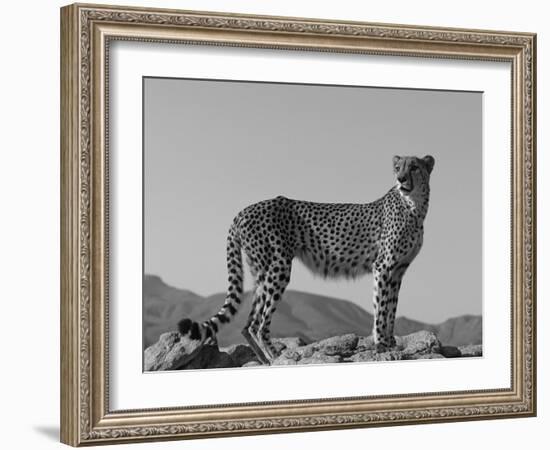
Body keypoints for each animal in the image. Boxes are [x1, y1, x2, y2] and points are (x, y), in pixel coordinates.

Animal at [179, 155, 438, 366]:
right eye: (397, 167)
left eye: (414, 167)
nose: (401, 179)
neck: (414, 207)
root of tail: (244, 210)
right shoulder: (383, 267)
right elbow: (381, 307)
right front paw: (381, 345)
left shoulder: (398, 270)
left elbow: (391, 307)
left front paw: (390, 342)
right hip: (278, 267)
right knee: (259, 324)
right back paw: (277, 356)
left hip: (261, 272)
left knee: (247, 324)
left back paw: (265, 360)